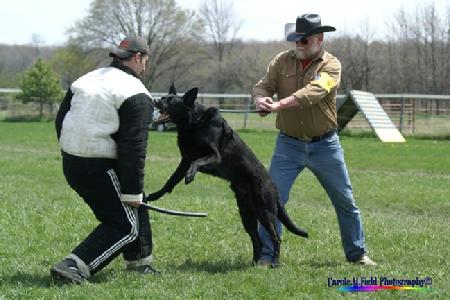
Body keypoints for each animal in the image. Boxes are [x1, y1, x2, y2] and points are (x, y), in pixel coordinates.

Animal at [149, 85, 310, 268]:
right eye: (163, 97)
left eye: (169, 101)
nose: (155, 100)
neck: (195, 122)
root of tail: (274, 186)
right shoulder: (185, 160)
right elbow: (171, 181)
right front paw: (155, 195)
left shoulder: (213, 156)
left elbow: (197, 162)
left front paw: (190, 176)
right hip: (247, 215)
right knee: (258, 240)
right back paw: (254, 263)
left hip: (265, 212)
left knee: (276, 238)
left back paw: (274, 262)